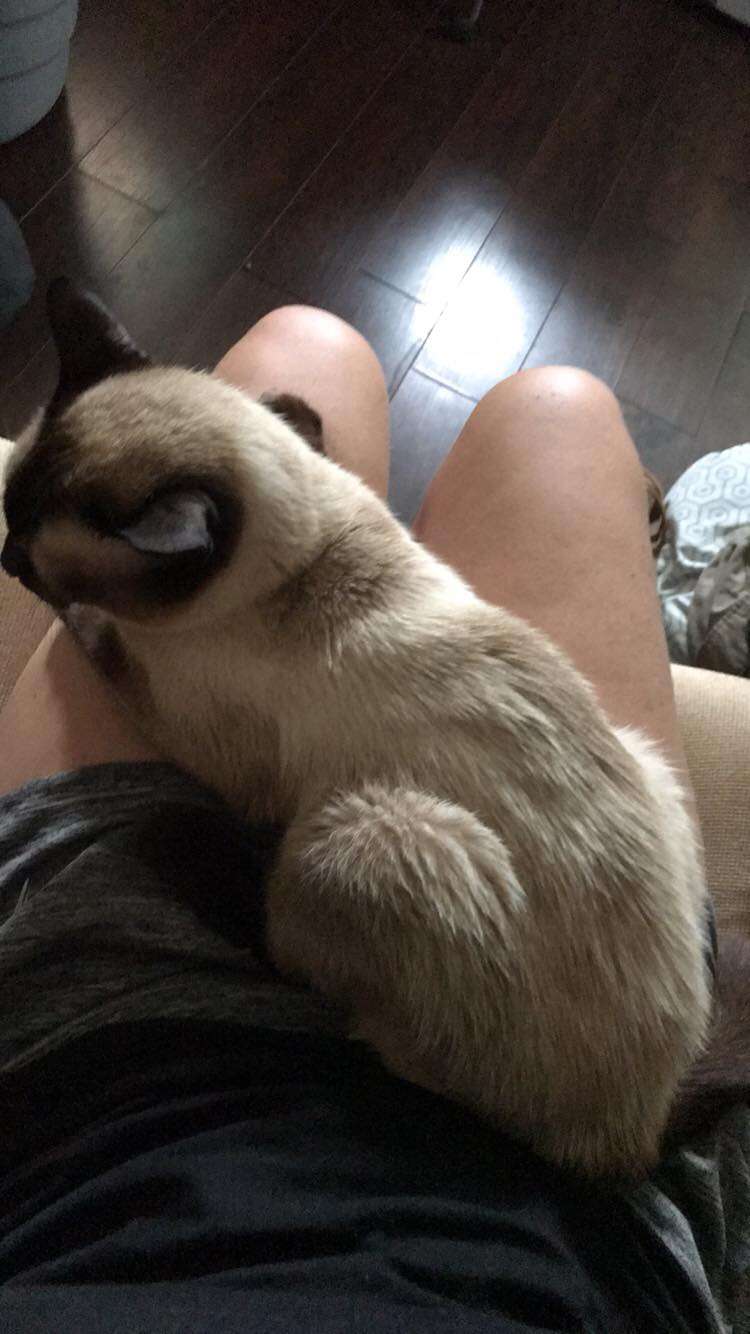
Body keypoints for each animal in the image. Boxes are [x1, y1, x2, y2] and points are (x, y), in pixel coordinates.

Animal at [1, 276, 725, 1173]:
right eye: (7, 514)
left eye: (31, 560)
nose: (3, 559)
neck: (304, 551)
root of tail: (635, 1136)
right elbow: (293, 418)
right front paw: (286, 406)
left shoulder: (188, 722)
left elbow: (100, 637)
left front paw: (74, 620)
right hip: (647, 758)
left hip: (354, 834)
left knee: (299, 962)